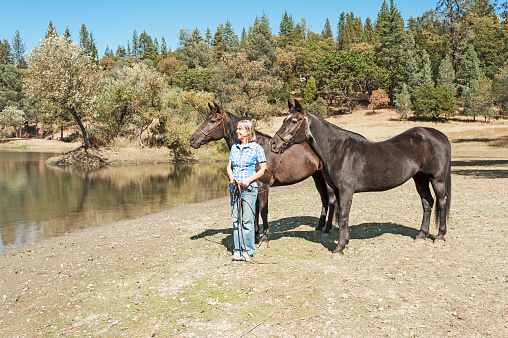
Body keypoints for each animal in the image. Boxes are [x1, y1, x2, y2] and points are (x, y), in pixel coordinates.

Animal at [189, 103, 336, 248]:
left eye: (213, 121)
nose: (192, 139)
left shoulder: (263, 186)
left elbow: (263, 211)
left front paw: (264, 239)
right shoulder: (252, 186)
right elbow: (254, 209)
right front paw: (254, 236)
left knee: (331, 200)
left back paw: (327, 230)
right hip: (317, 176)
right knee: (324, 200)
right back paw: (319, 228)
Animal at [270, 99, 452, 258]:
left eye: (294, 121)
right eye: (284, 120)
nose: (273, 144)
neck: (338, 150)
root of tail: (440, 135)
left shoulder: (346, 191)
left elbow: (343, 216)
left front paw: (339, 249)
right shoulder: (337, 191)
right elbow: (342, 216)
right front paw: (345, 242)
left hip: (437, 179)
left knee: (441, 202)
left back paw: (440, 236)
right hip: (420, 178)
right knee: (427, 203)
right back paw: (421, 235)